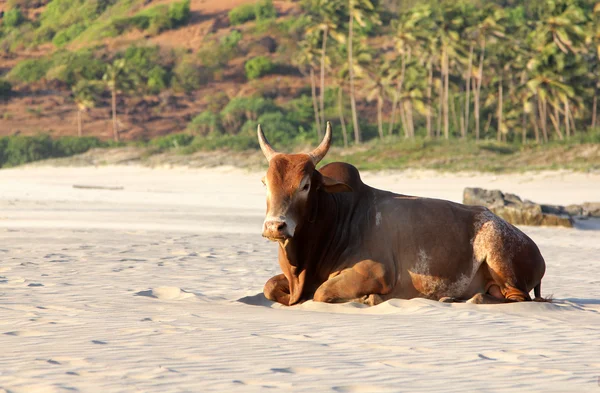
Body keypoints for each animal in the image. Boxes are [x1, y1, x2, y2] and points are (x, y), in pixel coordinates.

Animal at [255, 121, 548, 304]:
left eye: (305, 185)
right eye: (265, 182)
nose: (275, 227)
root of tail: (536, 250)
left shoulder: (376, 272)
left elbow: (322, 293)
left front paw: (370, 297)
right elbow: (269, 286)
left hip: (501, 259)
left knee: (515, 297)